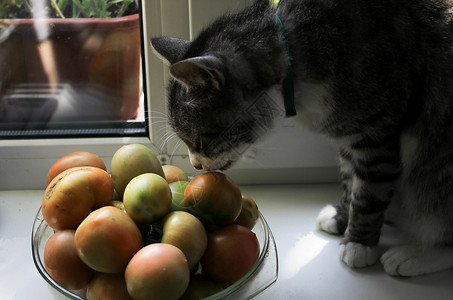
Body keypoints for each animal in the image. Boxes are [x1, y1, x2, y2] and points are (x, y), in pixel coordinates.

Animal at [150, 0, 452, 276]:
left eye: (198, 141)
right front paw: (341, 216)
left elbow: (367, 193)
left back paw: (411, 256)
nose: (196, 165)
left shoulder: (376, 134)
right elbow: (349, 180)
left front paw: (358, 243)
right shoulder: (348, 136)